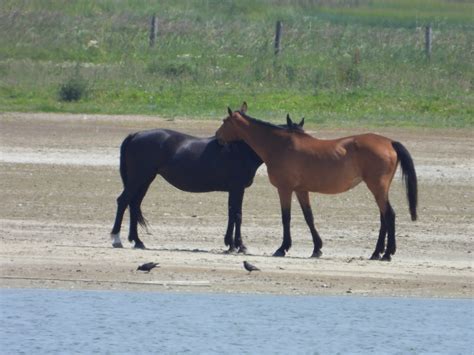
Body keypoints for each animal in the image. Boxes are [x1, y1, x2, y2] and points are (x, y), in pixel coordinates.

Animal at [110, 103, 304, 252]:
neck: (240, 149)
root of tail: (135, 135)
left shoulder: (234, 190)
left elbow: (232, 213)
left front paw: (230, 244)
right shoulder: (237, 188)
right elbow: (237, 214)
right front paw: (239, 245)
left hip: (145, 179)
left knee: (134, 204)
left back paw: (137, 241)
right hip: (138, 178)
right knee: (123, 201)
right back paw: (116, 239)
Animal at [216, 103, 418, 262]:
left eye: (224, 121)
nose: (217, 137)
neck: (279, 145)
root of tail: (389, 142)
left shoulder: (285, 189)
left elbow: (286, 217)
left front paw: (282, 248)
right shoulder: (301, 190)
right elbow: (309, 217)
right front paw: (317, 248)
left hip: (377, 187)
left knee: (389, 215)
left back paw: (387, 253)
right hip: (379, 189)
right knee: (384, 217)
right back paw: (377, 253)